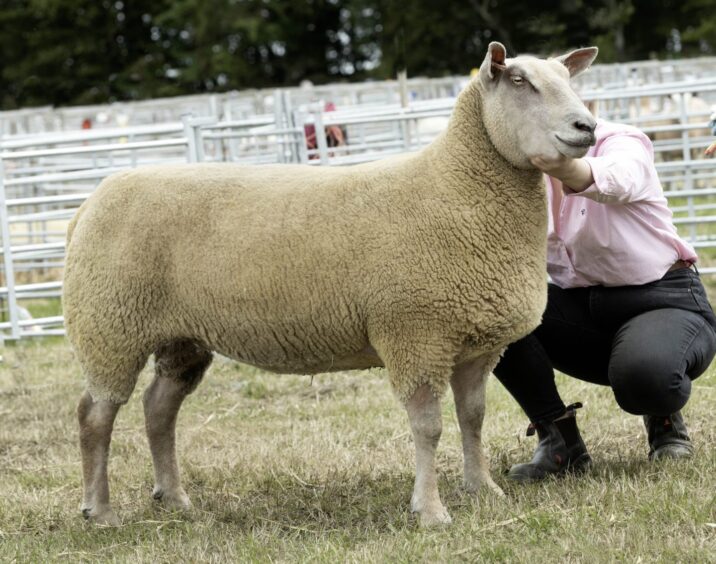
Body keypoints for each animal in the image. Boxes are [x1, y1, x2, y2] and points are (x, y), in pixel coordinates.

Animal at [63, 40, 600, 528]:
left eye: (566, 78)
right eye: (519, 81)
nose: (587, 127)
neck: (455, 186)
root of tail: (90, 203)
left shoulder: (476, 346)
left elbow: (473, 418)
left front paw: (483, 489)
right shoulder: (415, 335)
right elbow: (428, 428)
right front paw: (430, 511)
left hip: (180, 336)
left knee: (158, 408)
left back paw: (173, 499)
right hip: (111, 326)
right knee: (95, 415)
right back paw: (100, 511)